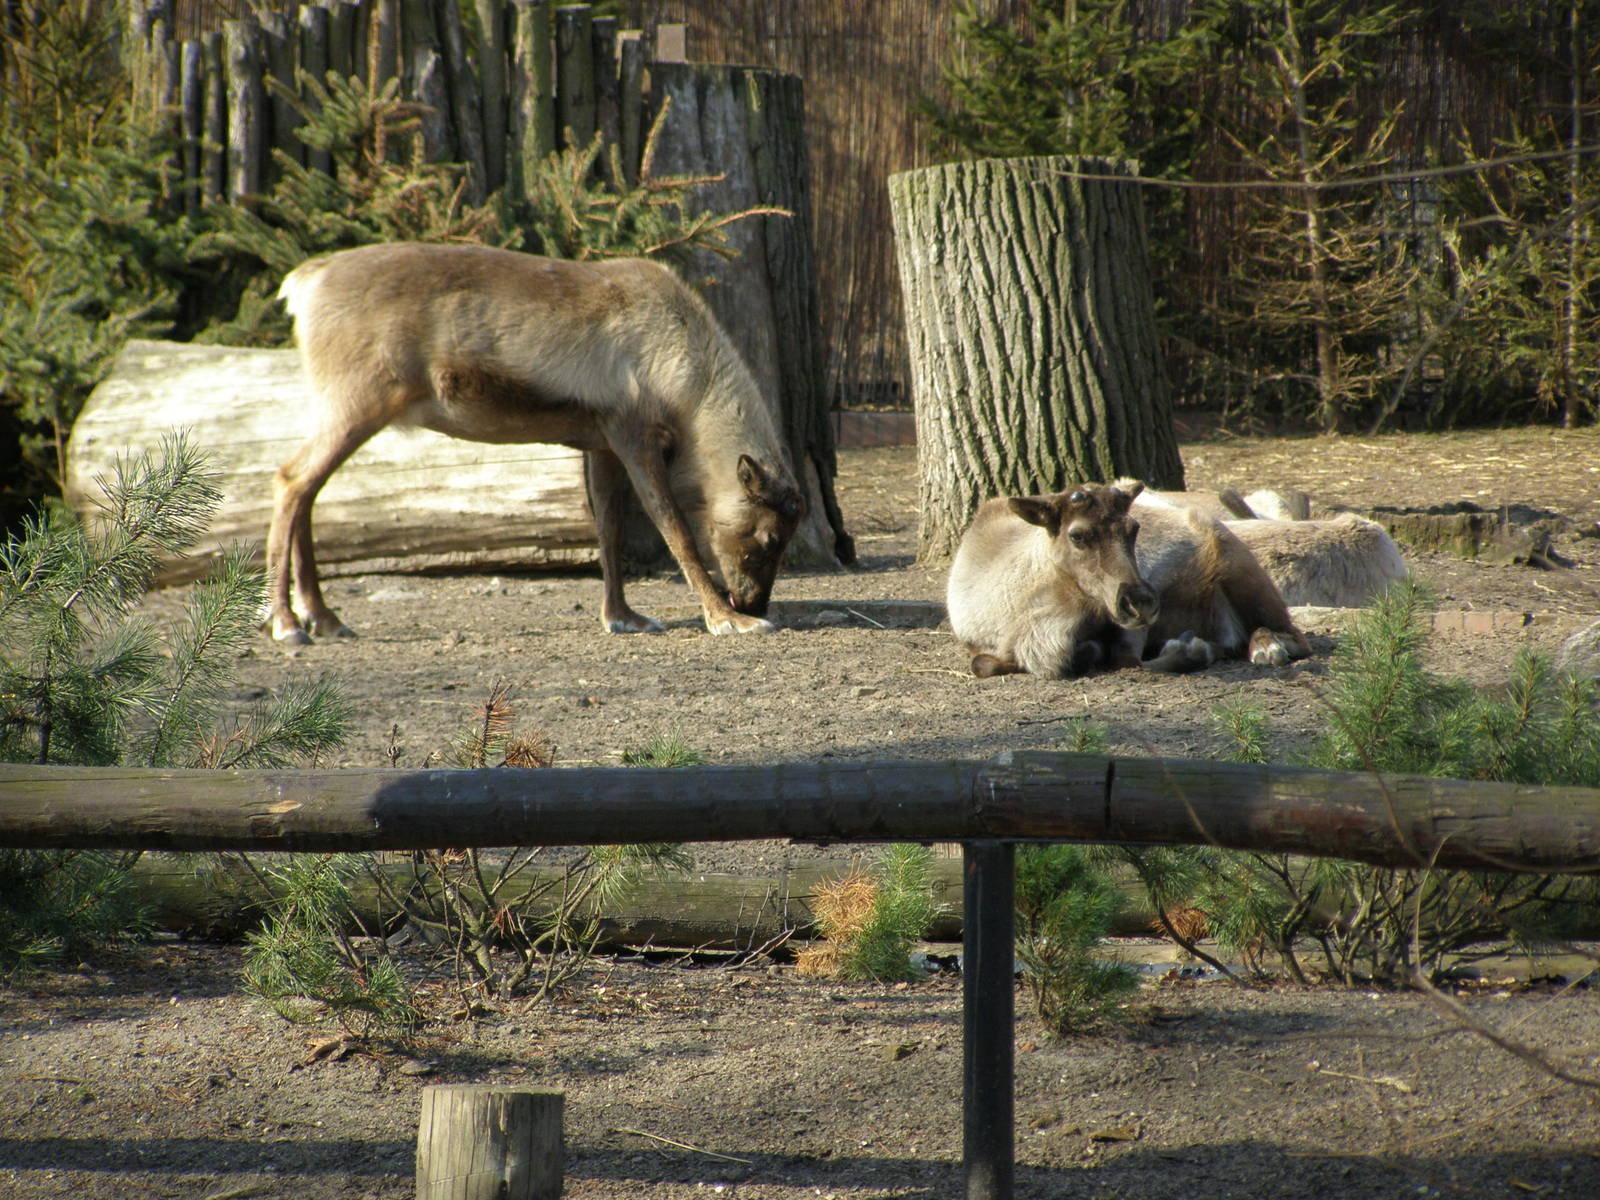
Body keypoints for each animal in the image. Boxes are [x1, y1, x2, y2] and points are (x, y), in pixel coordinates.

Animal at [267, 242, 805, 645]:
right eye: (769, 537)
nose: (752, 602)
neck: (689, 379)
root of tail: (304, 282)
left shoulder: (601, 442)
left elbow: (609, 531)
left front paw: (622, 617)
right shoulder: (634, 434)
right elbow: (676, 531)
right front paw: (728, 620)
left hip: (343, 408)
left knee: (308, 489)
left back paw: (324, 618)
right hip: (359, 401)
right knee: (292, 480)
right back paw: (289, 624)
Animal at [946, 481, 1311, 678]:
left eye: (1134, 528)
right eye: (1077, 535)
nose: (1142, 602)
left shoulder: (1132, 619)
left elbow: (1129, 660)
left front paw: (1193, 649)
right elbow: (982, 663)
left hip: (1240, 568)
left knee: (1294, 635)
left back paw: (1266, 647)